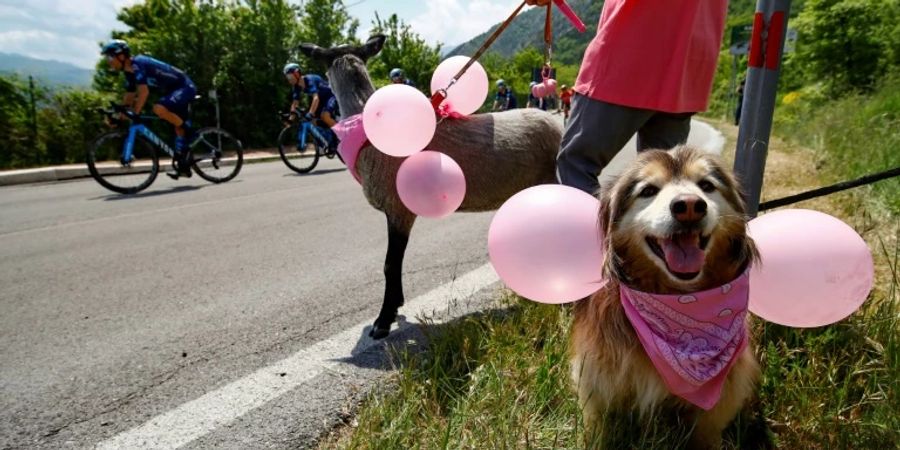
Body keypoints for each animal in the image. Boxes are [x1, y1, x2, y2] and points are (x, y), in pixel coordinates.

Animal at [298, 35, 564, 338]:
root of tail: (558, 123)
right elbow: (394, 264)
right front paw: (395, 307)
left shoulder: (398, 207)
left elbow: (390, 264)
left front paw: (383, 322)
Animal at [568, 146, 760, 448]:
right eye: (648, 190)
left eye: (706, 186)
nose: (690, 206)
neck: (677, 294)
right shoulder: (597, 377)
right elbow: (600, 424)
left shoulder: (722, 394)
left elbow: (706, 431)